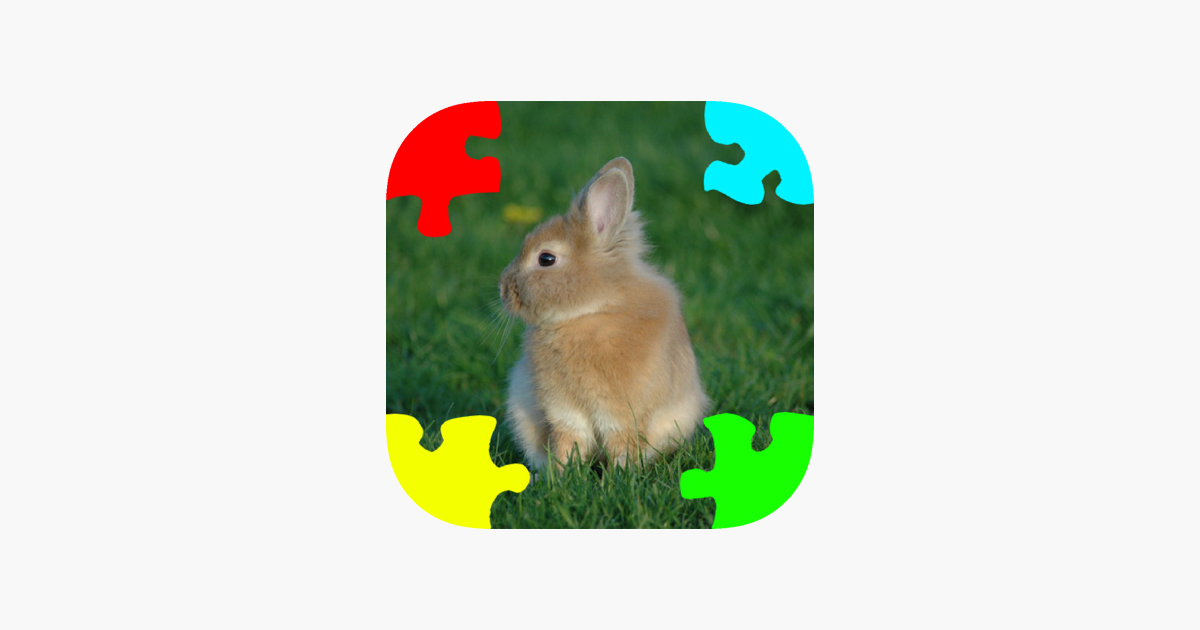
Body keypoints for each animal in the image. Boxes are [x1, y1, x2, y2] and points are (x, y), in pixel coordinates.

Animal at [499, 157, 709, 470]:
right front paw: (561, 474)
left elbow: (620, 442)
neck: (591, 311)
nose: (503, 289)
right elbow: (568, 441)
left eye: (546, 258)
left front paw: (620, 474)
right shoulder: (564, 411)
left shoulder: (620, 413)